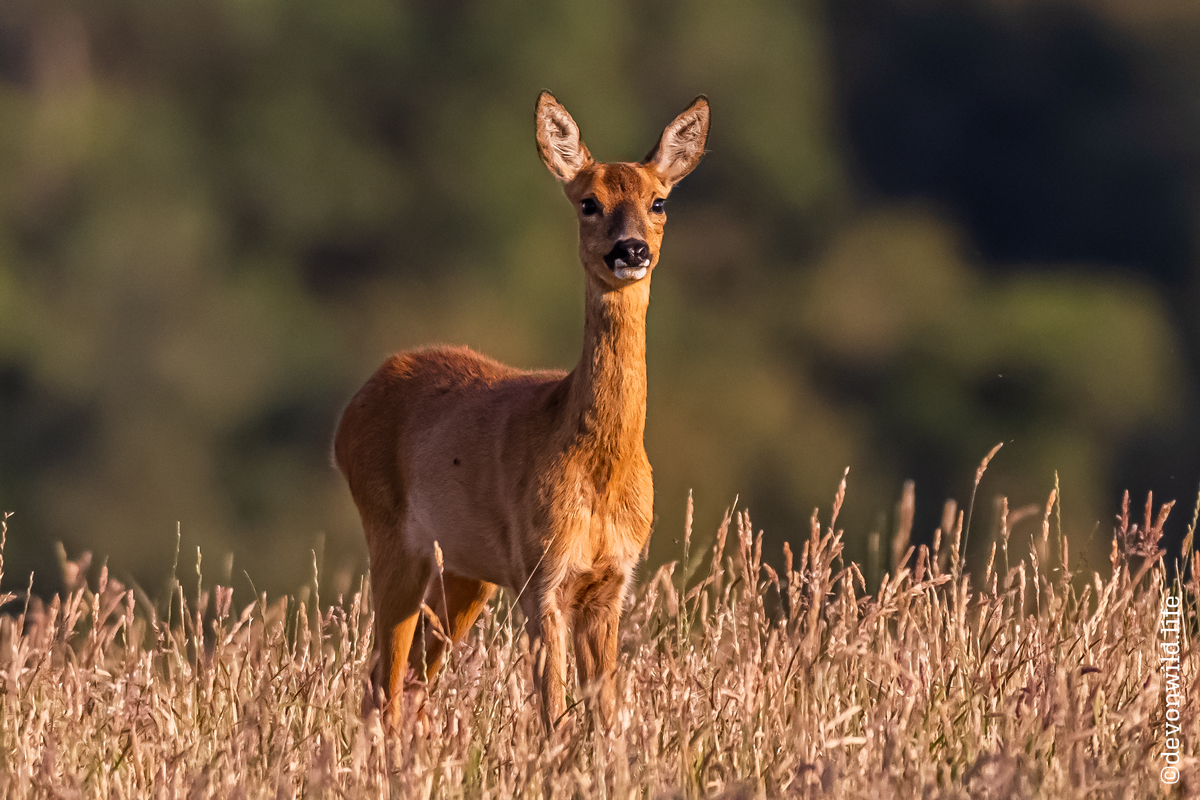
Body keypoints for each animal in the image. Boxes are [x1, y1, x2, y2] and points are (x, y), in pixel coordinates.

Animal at [333, 91, 709, 732]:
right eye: (589, 202)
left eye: (659, 201)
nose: (630, 250)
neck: (598, 466)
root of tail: (349, 413)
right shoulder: (541, 576)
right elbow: (552, 715)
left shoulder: (611, 583)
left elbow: (608, 717)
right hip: (393, 536)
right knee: (383, 683)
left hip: (465, 572)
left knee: (407, 681)